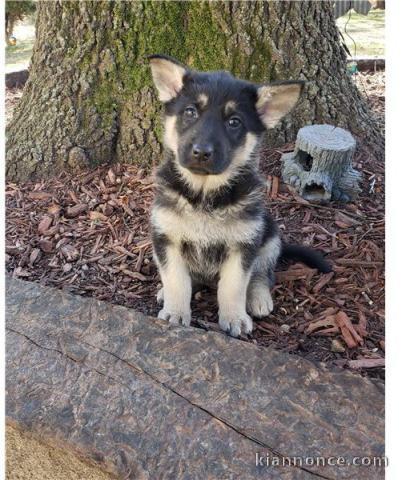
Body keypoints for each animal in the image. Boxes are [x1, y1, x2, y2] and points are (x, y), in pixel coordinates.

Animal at [148, 54, 330, 336]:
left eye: (234, 122)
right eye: (190, 112)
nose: (201, 152)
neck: (204, 195)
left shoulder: (243, 245)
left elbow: (233, 286)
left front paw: (234, 318)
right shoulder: (166, 238)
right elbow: (177, 280)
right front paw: (175, 313)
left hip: (269, 237)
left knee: (262, 275)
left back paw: (258, 298)